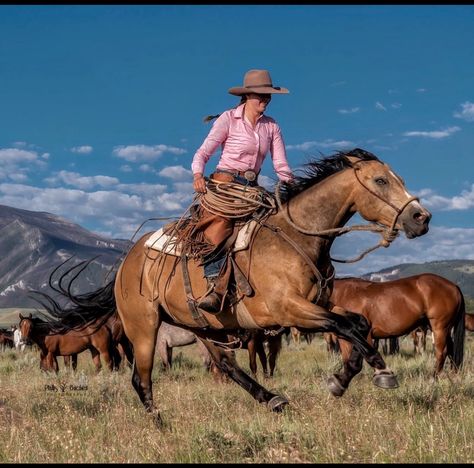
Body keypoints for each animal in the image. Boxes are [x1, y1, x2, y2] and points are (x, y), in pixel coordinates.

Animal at [35, 150, 432, 420]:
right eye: (381, 181)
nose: (421, 218)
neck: (297, 240)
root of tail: (125, 264)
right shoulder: (290, 310)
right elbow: (346, 326)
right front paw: (381, 370)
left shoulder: (315, 305)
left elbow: (357, 324)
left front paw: (343, 378)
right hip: (144, 327)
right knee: (141, 378)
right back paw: (160, 424)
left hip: (202, 326)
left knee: (226, 364)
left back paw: (271, 398)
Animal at [332, 274, 464, 376]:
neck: (344, 294)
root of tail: (454, 286)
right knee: (451, 351)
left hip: (440, 328)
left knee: (441, 352)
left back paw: (434, 378)